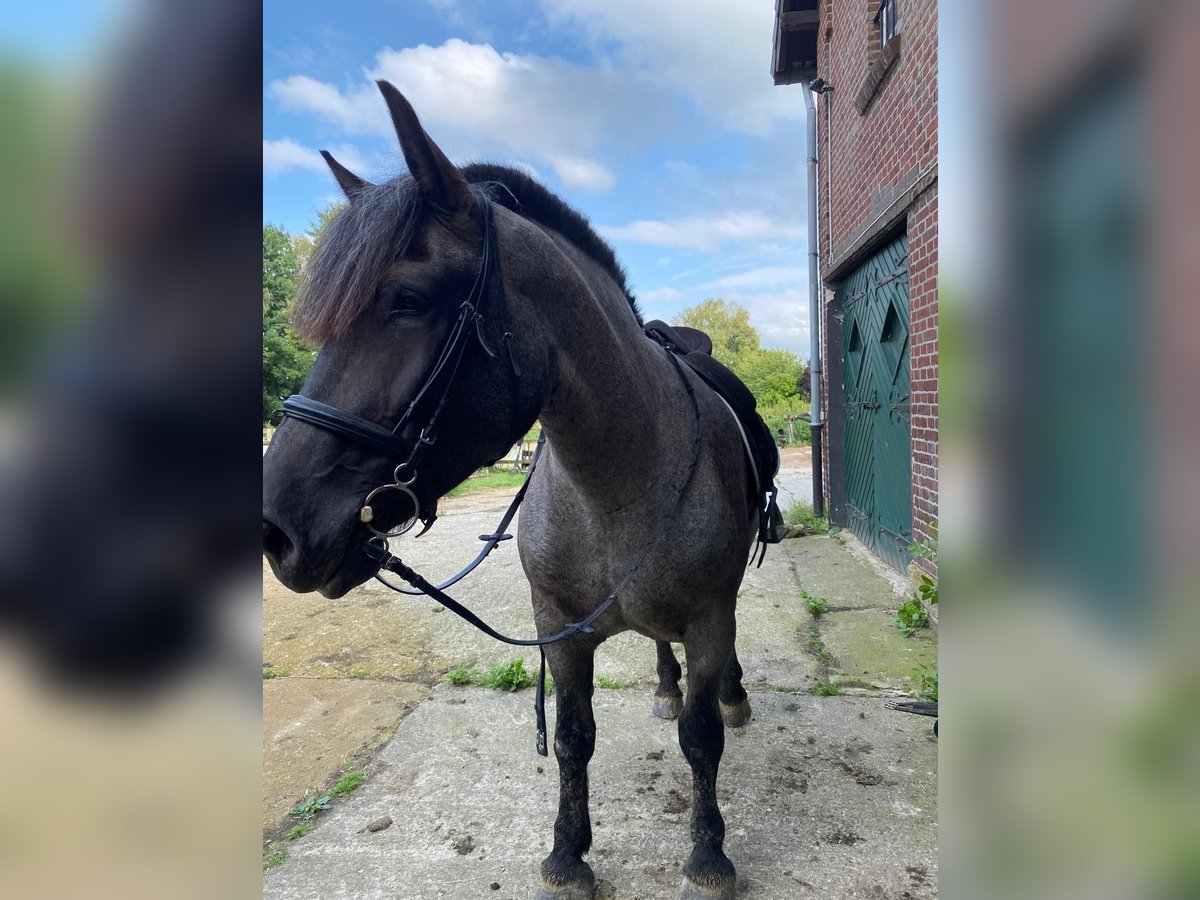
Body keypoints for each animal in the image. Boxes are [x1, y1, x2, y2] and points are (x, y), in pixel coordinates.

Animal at [262, 81, 777, 897]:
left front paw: (708, 851)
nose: (276, 529)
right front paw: (568, 853)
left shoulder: (706, 617)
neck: (615, 487)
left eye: (408, 299)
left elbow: (702, 741)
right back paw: (665, 688)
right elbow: (572, 739)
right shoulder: (558, 629)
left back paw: (729, 694)